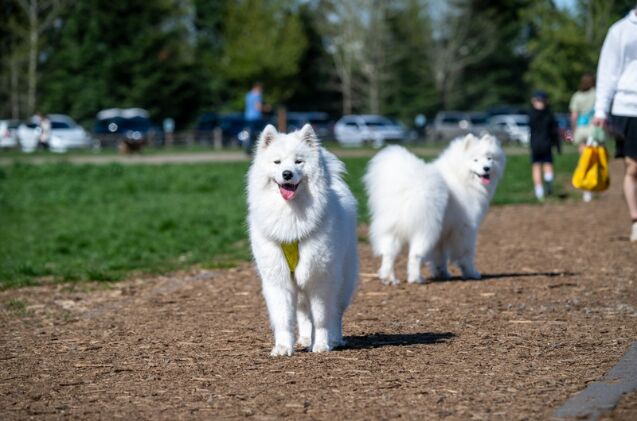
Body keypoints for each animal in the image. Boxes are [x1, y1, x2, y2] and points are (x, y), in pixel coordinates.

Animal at [247, 122, 358, 354]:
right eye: (277, 162)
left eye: (299, 161)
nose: (287, 174)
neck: (291, 215)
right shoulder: (278, 279)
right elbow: (284, 319)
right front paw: (282, 347)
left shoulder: (320, 278)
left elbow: (322, 317)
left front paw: (322, 344)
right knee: (304, 314)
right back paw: (306, 339)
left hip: (342, 279)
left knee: (335, 313)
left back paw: (334, 339)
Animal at [362, 134, 506, 286]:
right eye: (475, 159)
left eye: (489, 158)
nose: (487, 168)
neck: (460, 176)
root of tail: (408, 185)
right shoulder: (465, 229)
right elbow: (465, 254)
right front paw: (472, 273)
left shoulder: (443, 232)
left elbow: (440, 256)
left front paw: (442, 274)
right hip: (426, 229)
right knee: (415, 254)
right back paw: (416, 279)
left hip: (393, 229)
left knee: (389, 253)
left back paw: (389, 279)